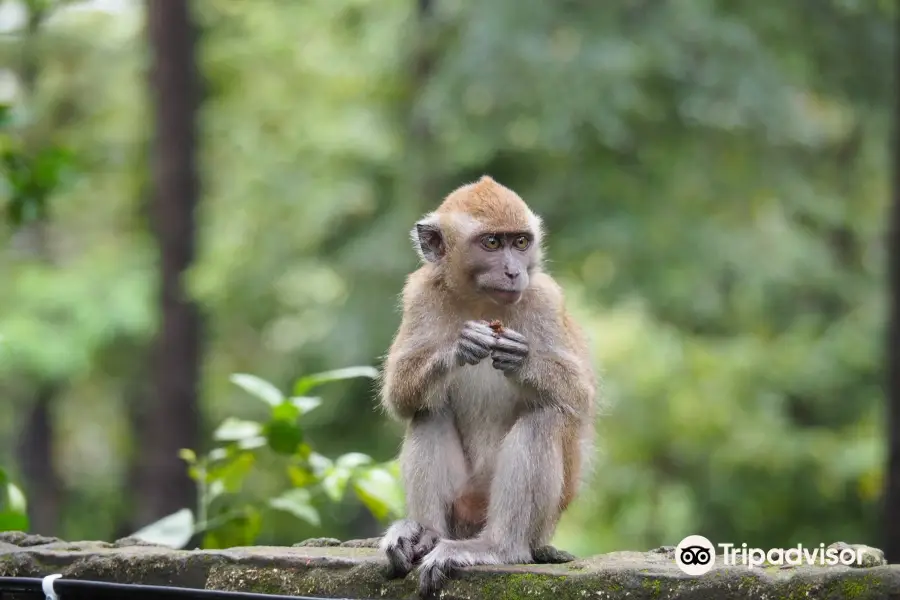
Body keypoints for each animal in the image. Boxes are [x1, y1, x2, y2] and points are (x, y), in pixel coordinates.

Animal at [378, 173, 596, 596]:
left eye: (521, 242)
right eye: (493, 243)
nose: (513, 271)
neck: (481, 302)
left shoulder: (544, 299)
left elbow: (579, 396)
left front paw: (522, 360)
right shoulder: (419, 294)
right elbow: (399, 395)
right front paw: (457, 348)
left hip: (534, 520)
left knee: (544, 417)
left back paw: (497, 547)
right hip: (462, 507)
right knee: (428, 411)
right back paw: (424, 534)